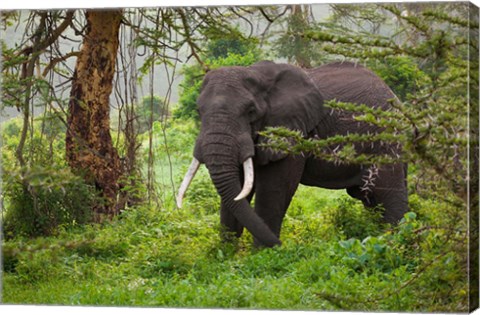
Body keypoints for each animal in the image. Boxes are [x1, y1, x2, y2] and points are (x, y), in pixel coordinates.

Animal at [176, 60, 408, 248]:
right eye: (198, 111)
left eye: (251, 111)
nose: (283, 246)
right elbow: (237, 188)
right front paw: (225, 255)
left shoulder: (291, 131)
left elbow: (274, 188)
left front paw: (262, 255)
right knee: (370, 199)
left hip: (385, 141)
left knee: (388, 194)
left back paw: (395, 240)